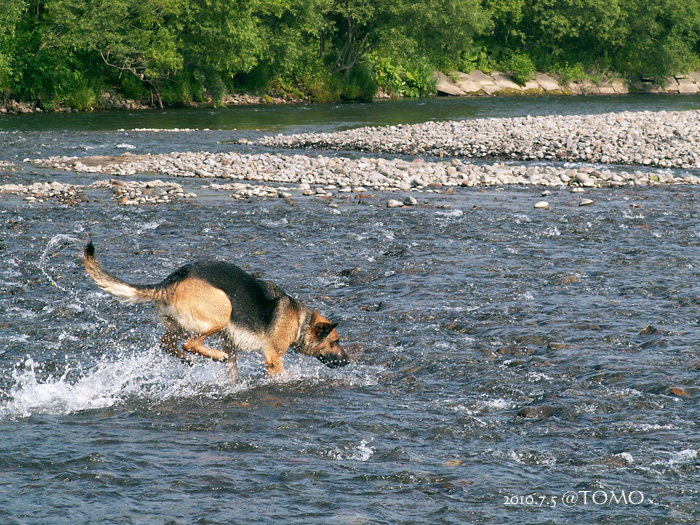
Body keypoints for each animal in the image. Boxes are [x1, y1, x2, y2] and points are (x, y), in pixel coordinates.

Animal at [83, 239, 348, 378]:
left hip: (183, 325)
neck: (301, 321)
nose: (348, 361)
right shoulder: (273, 357)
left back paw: (188, 360)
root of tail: (169, 282)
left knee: (168, 343)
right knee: (190, 343)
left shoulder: (231, 344)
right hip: (222, 311)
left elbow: (233, 373)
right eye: (335, 342)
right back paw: (212, 355)